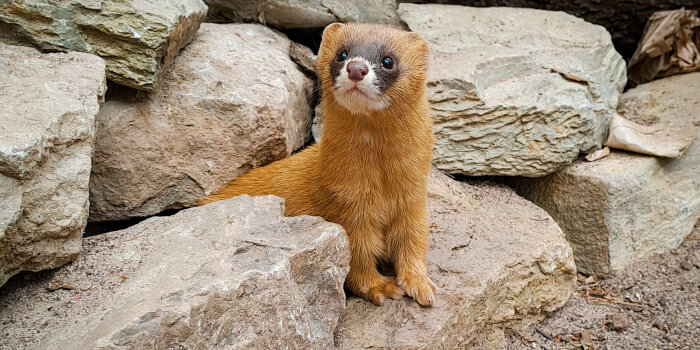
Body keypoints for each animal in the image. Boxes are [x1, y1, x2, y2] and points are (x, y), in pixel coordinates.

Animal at [198, 22, 438, 306]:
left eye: (388, 60)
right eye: (342, 54)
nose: (356, 68)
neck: (381, 183)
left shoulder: (414, 199)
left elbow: (414, 240)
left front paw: (420, 284)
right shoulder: (346, 207)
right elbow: (357, 258)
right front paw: (381, 287)